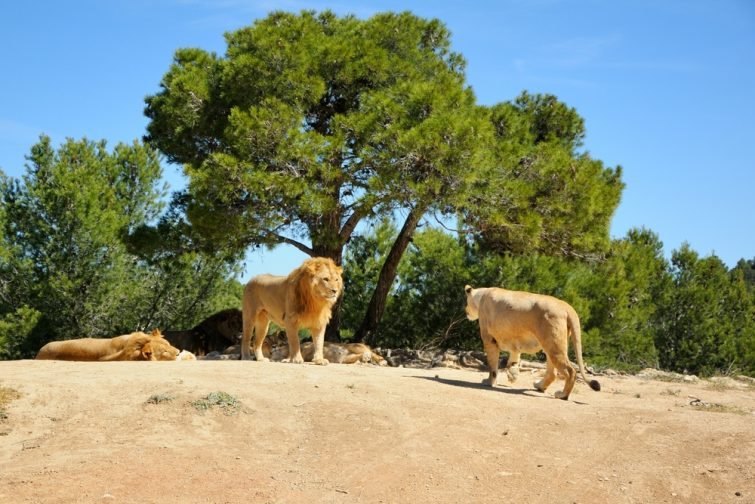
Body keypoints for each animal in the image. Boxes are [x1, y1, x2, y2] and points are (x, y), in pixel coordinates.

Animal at [464, 286, 600, 400]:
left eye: (466, 302)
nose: (465, 311)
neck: (482, 295)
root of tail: (567, 307)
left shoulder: (489, 339)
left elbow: (492, 364)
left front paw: (489, 382)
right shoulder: (514, 341)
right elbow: (514, 358)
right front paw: (512, 375)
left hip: (554, 345)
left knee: (570, 371)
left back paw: (562, 395)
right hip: (551, 345)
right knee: (552, 373)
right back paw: (539, 386)